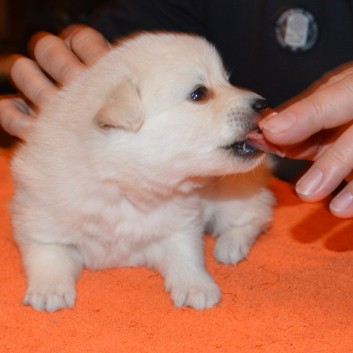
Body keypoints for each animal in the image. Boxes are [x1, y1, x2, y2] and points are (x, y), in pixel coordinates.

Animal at [10, 31, 276, 310]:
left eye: (227, 81)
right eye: (199, 93)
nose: (262, 103)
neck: (122, 187)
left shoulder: (179, 227)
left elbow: (186, 256)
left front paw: (197, 287)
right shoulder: (41, 225)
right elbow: (47, 255)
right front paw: (49, 291)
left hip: (235, 193)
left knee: (255, 215)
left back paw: (230, 245)